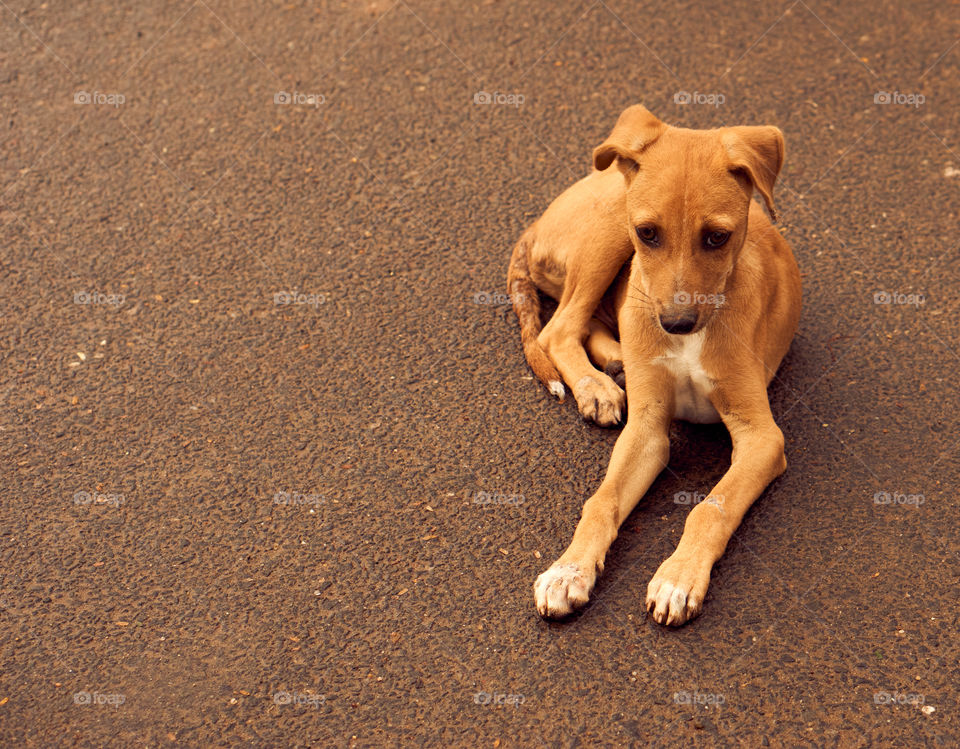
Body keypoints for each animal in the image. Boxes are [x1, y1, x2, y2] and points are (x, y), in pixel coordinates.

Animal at [510, 103, 804, 624]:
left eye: (718, 237)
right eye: (648, 233)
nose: (676, 323)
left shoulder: (762, 437)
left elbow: (711, 507)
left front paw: (678, 577)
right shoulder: (646, 429)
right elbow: (602, 501)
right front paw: (568, 570)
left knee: (582, 323)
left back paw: (612, 366)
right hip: (609, 230)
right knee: (558, 327)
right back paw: (596, 386)